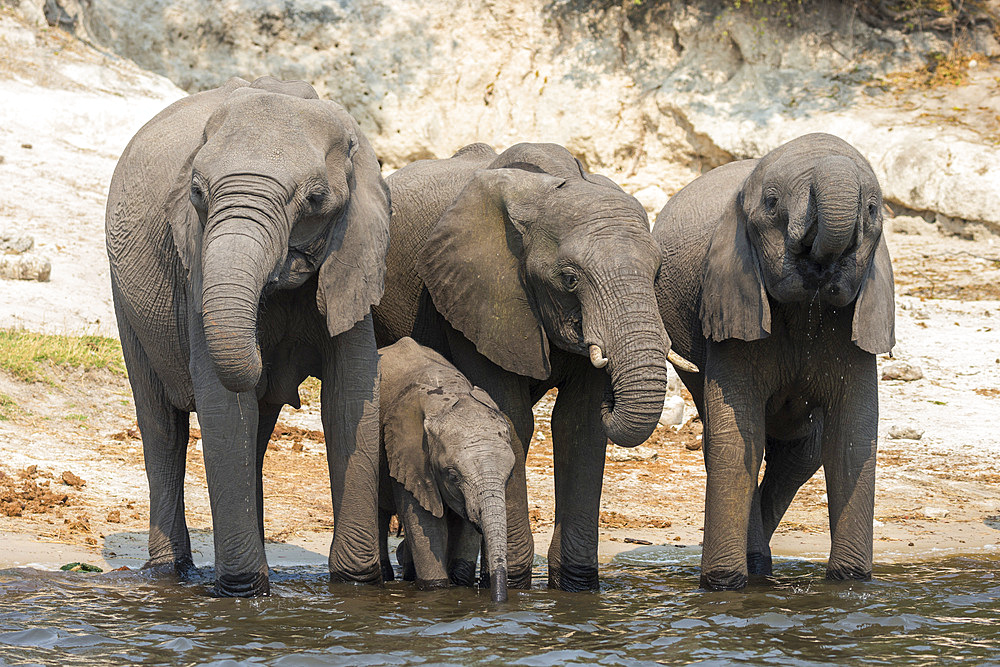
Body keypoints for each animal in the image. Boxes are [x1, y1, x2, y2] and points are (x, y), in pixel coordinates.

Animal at [107, 75, 388, 596]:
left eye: (315, 200)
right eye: (198, 192)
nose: (266, 352)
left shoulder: (356, 250)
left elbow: (352, 392)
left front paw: (356, 585)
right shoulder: (196, 258)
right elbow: (221, 401)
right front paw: (242, 593)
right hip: (125, 298)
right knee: (162, 426)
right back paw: (171, 572)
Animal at [376, 336, 516, 604]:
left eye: (509, 475)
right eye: (452, 475)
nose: (498, 600)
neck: (449, 393)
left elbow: (466, 525)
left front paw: (461, 585)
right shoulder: (408, 454)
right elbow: (426, 524)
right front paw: (437, 590)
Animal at [652, 133, 896, 592]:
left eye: (873, 209)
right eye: (771, 202)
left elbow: (851, 441)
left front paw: (849, 585)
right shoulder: (732, 304)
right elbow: (737, 439)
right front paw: (723, 586)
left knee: (803, 451)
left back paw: (761, 565)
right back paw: (755, 567)